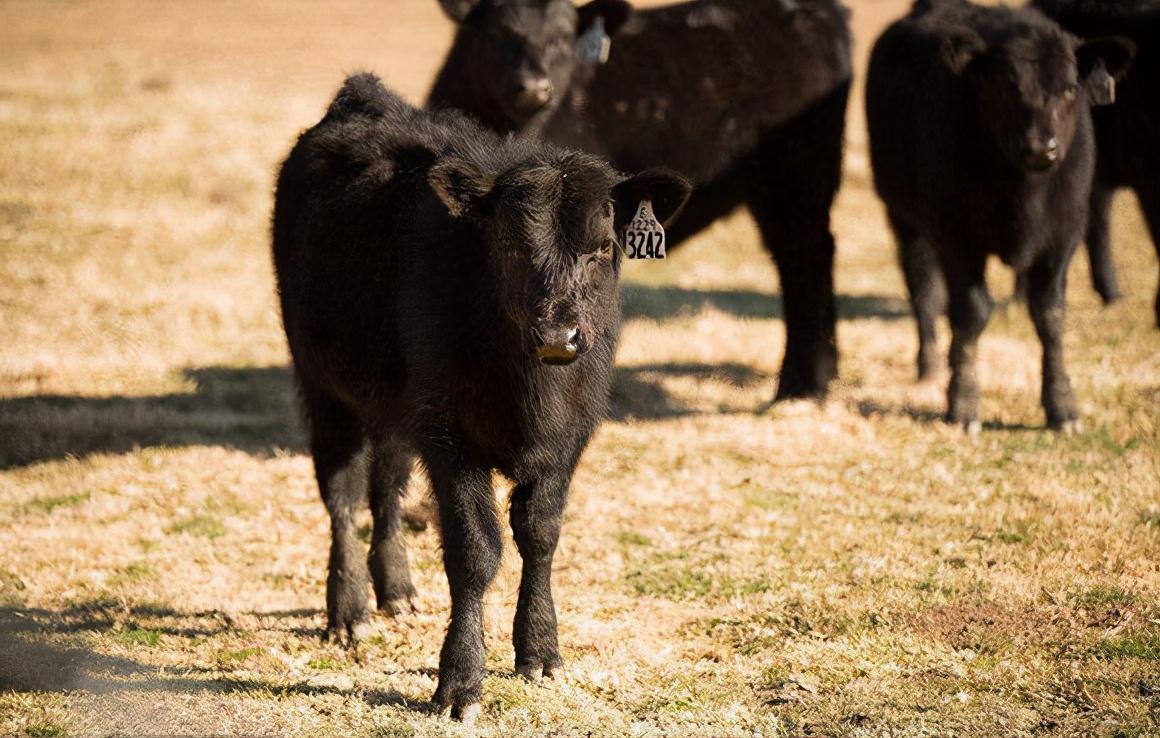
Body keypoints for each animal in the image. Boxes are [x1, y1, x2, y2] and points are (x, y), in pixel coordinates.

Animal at [271, 71, 686, 719]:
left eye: (601, 248)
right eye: (511, 246)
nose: (559, 335)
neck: (532, 394)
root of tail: (363, 98)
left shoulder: (570, 436)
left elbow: (540, 534)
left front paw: (540, 651)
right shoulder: (449, 437)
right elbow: (475, 551)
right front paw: (460, 681)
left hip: (392, 403)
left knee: (387, 488)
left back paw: (396, 590)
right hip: (323, 386)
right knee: (342, 494)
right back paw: (350, 610)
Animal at [426, 0, 853, 401]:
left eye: (563, 38)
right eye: (496, 34)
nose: (534, 87)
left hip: (797, 176)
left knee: (804, 257)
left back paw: (802, 385)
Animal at [872, 0, 1132, 429]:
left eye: (1069, 88)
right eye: (1006, 87)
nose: (1042, 148)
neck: (1024, 195)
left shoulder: (1063, 235)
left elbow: (1050, 315)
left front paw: (1062, 407)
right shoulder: (956, 236)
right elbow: (971, 312)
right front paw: (963, 403)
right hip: (905, 218)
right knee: (923, 290)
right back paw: (930, 366)